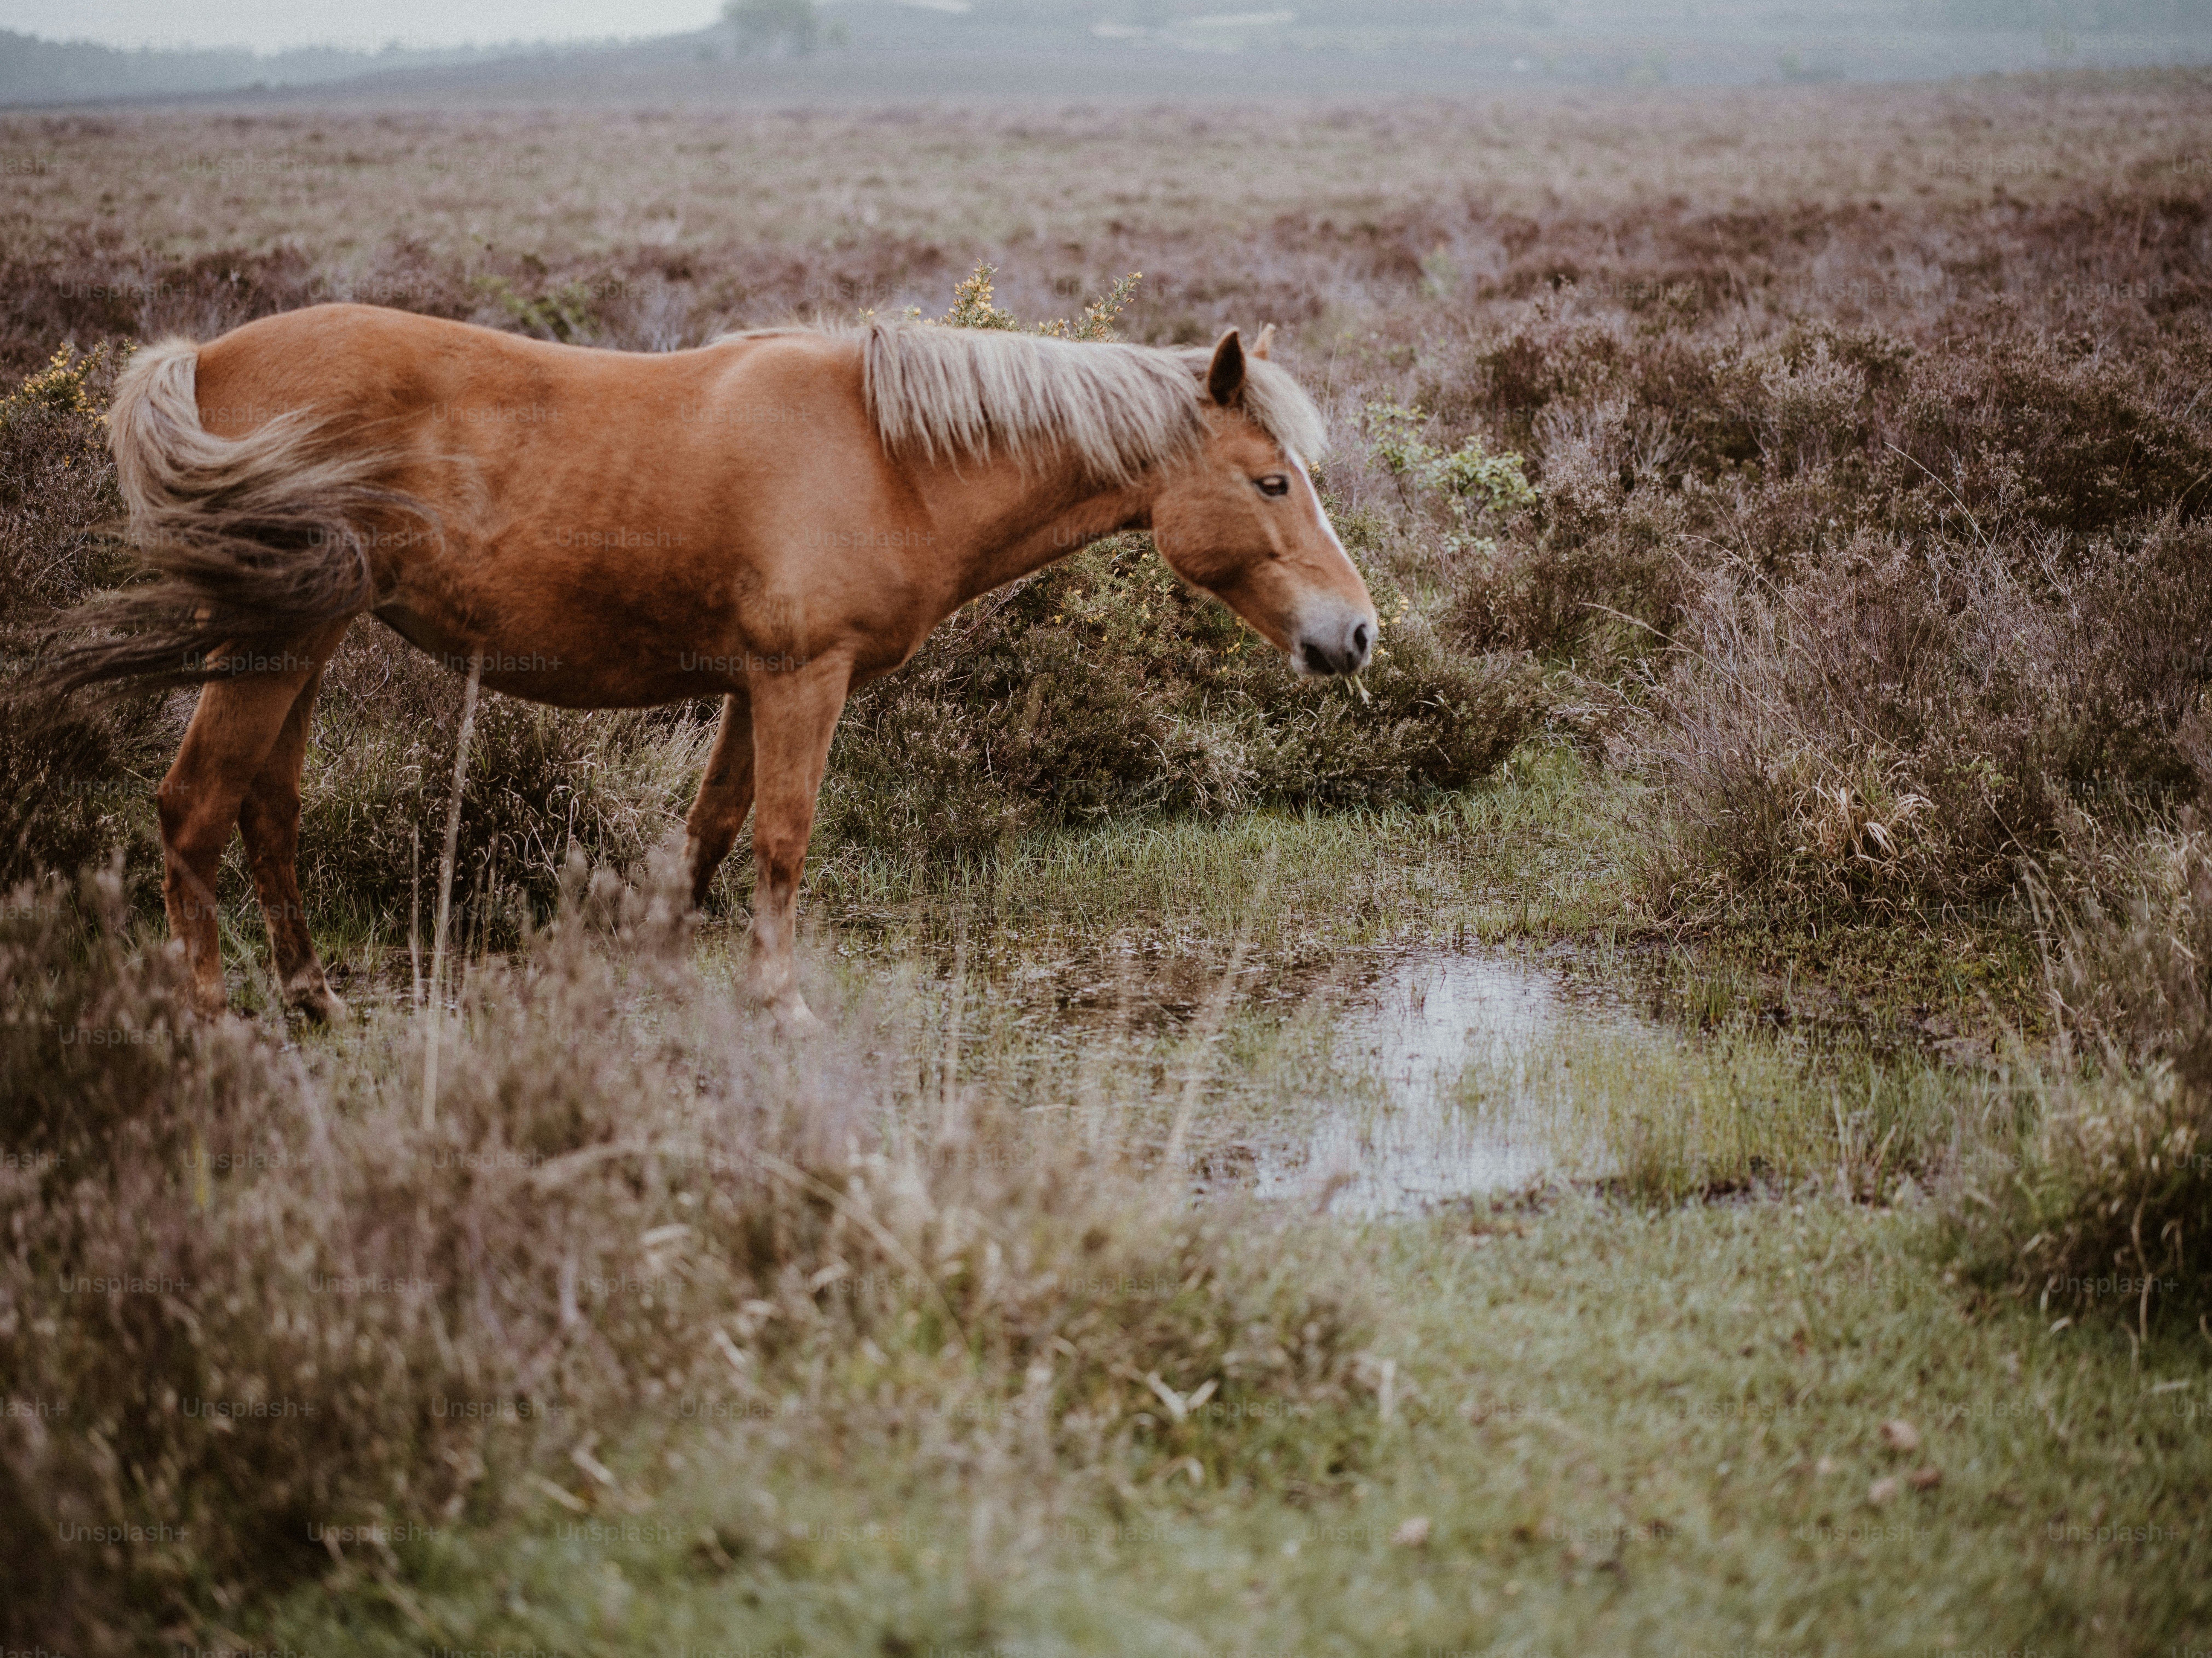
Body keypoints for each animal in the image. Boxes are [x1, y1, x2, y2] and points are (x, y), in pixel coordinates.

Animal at [46, 303, 1377, 1030]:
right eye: (1272, 481)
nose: (1356, 633)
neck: (890, 454)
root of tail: (203, 360)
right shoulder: (801, 681)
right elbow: (783, 838)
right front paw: (778, 1001)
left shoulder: (750, 689)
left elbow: (710, 832)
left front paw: (666, 972)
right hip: (270, 650)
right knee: (195, 810)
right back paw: (215, 1023)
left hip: (304, 643)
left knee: (266, 810)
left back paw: (314, 997)